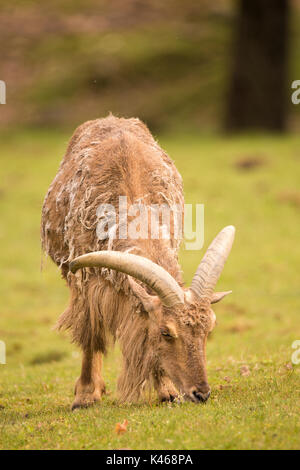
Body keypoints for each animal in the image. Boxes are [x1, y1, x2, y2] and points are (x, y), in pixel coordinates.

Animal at [41, 115, 234, 410]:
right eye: (166, 332)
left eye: (209, 327)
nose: (201, 393)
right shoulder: (85, 282)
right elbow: (90, 335)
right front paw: (84, 396)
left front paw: (167, 391)